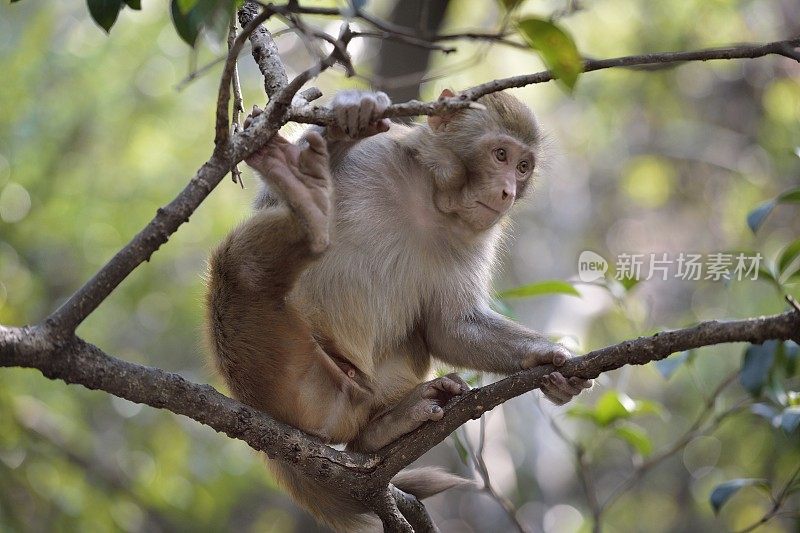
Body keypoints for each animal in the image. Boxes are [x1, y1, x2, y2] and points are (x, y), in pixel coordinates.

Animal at [206, 87, 592, 528]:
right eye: (500, 155)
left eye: (524, 166)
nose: (509, 191)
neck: (431, 196)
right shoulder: (376, 154)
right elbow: (267, 204)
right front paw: (349, 118)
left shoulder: (477, 233)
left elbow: (449, 327)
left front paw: (547, 359)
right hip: (276, 366)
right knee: (242, 268)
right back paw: (304, 200)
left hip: (338, 396)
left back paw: (382, 427)